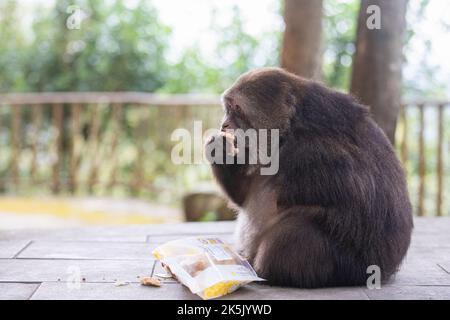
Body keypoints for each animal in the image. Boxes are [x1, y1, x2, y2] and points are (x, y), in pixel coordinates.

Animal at [206, 67, 414, 288]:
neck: (287, 131)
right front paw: (219, 149)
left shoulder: (308, 149)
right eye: (228, 108)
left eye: (237, 108)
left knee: (295, 231)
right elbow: (244, 195)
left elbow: (356, 191)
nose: (224, 125)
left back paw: (265, 272)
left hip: (350, 267)